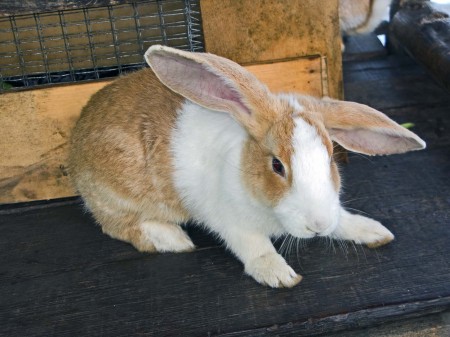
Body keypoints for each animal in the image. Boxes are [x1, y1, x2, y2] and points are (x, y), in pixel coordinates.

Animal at [67, 44, 426, 286]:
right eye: (277, 166)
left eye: (330, 160)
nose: (317, 226)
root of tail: (78, 135)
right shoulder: (231, 221)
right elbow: (255, 247)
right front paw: (279, 274)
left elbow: (343, 221)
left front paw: (372, 231)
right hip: (116, 196)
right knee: (117, 225)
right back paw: (172, 239)